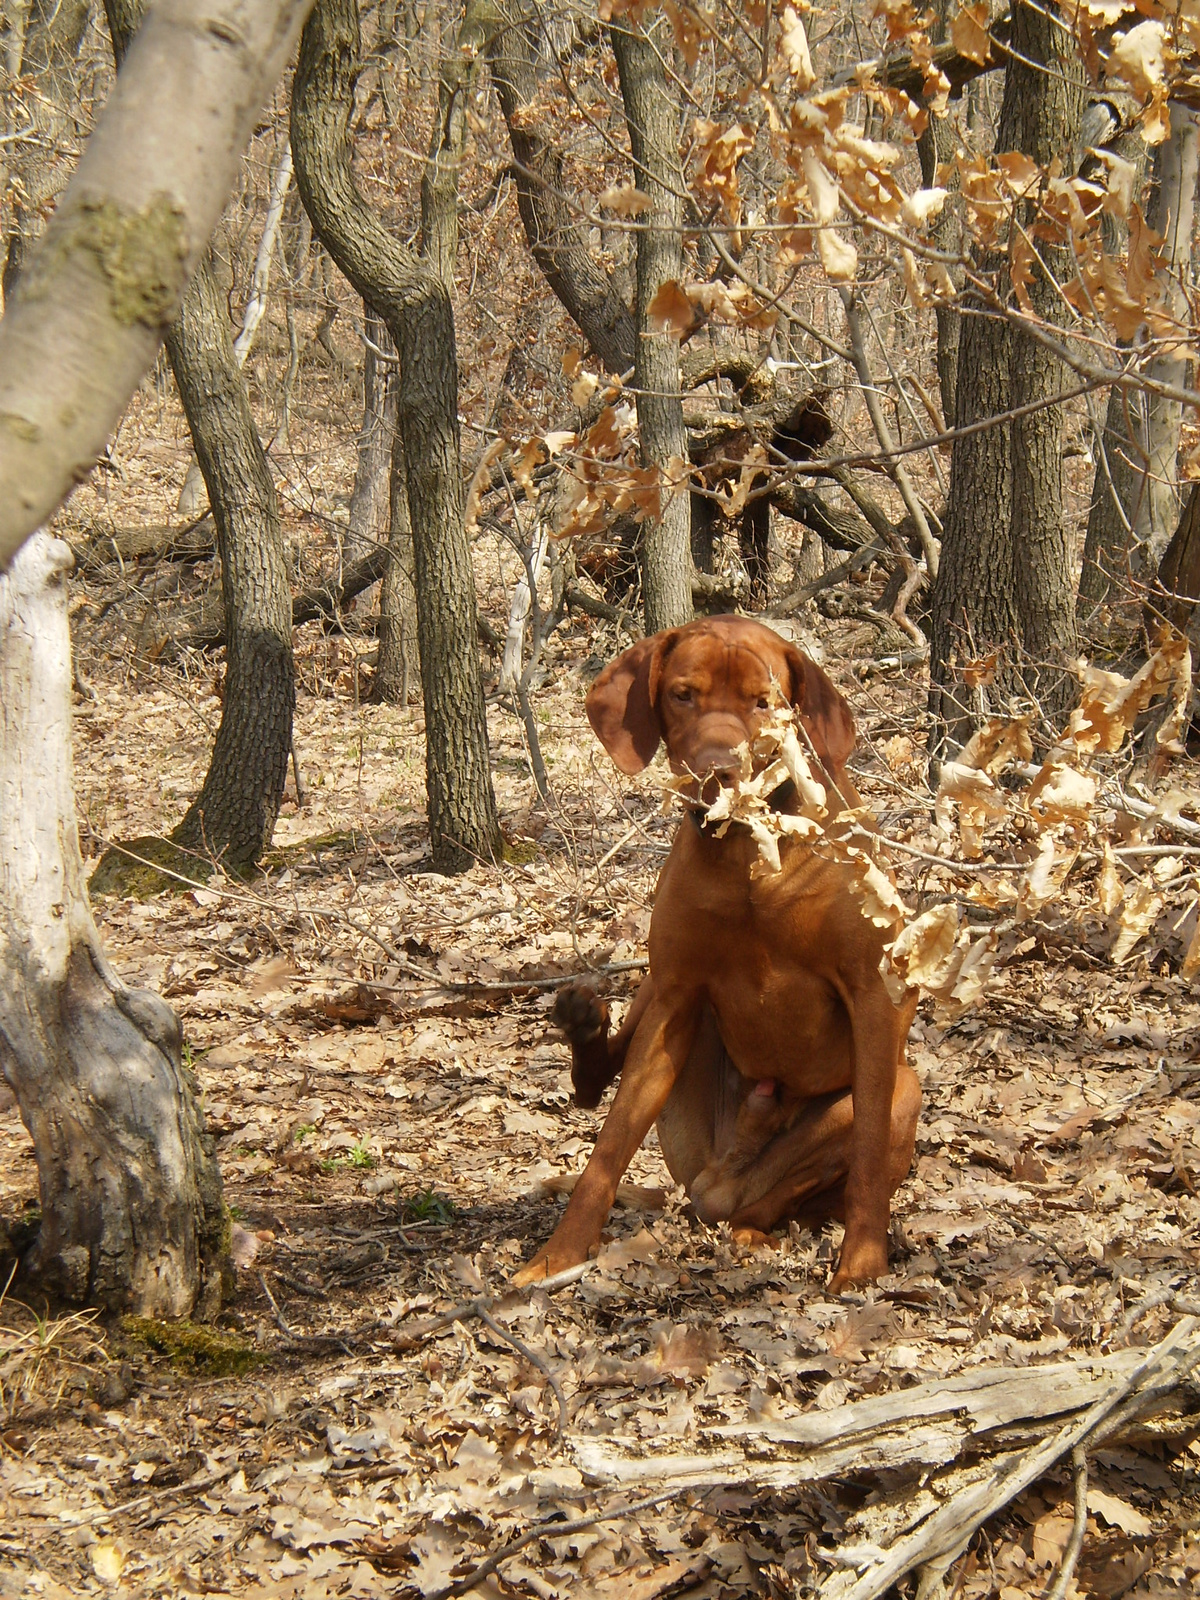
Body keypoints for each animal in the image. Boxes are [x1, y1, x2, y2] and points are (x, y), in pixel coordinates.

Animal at [515, 611, 921, 1286]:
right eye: (683, 694)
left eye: (763, 703)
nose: (717, 770)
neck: (747, 854)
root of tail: (714, 1179)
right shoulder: (677, 1002)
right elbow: (608, 1148)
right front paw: (559, 1254)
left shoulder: (877, 993)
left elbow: (867, 1151)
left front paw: (862, 1265)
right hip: (661, 1003)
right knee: (604, 1082)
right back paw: (583, 1023)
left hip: (900, 1091)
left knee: (771, 1204)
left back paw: (756, 1231)